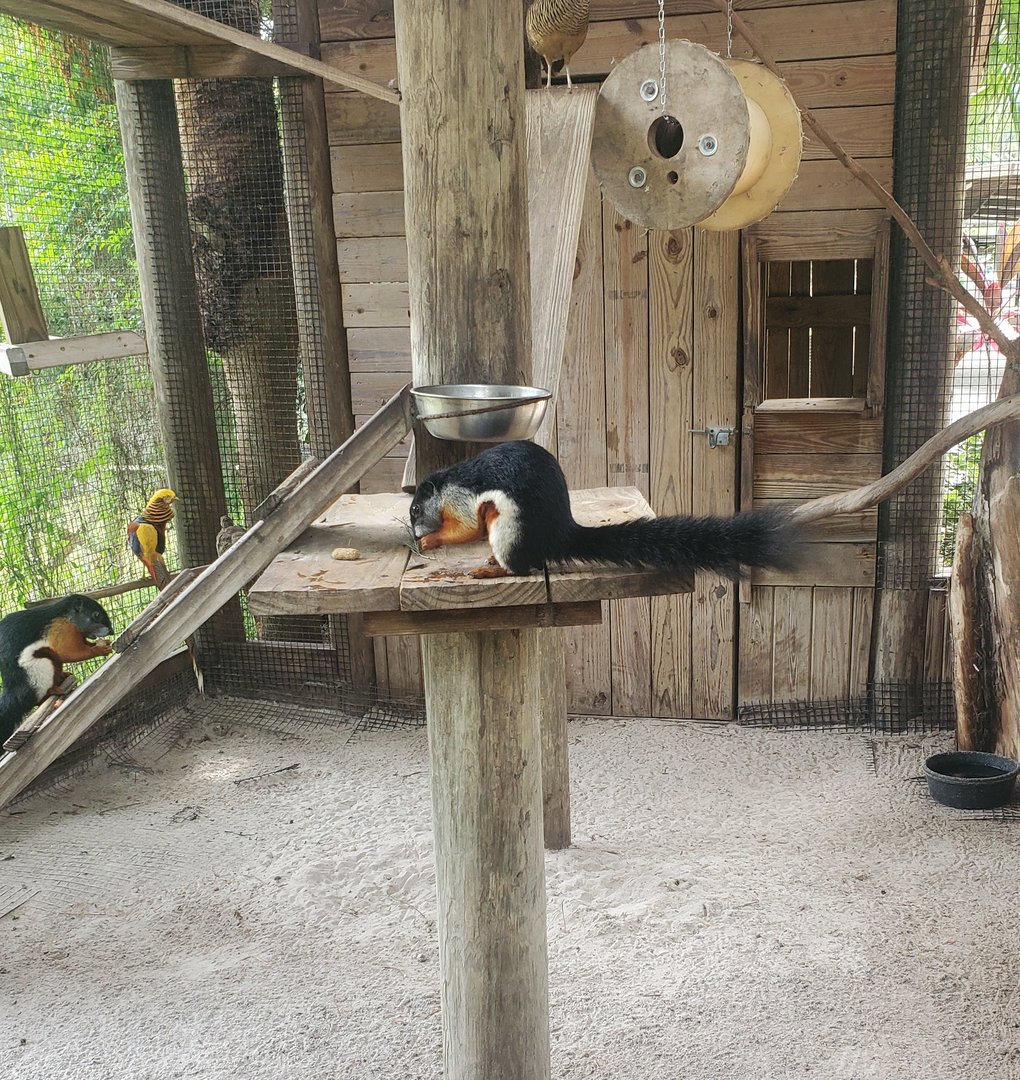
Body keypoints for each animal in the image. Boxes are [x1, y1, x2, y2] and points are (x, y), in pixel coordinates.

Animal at [0, 594, 114, 744]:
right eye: (96, 615)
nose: (111, 631)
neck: (66, 616)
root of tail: (13, 693)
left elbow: (85, 644)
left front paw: (102, 644)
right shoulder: (60, 630)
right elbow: (68, 651)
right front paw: (99, 649)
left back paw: (62, 676)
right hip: (41, 669)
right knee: (37, 699)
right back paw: (52, 692)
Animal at [409, 440, 804, 579]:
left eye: (414, 510)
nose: (413, 533)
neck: (444, 483)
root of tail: (559, 536)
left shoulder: (459, 500)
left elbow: (465, 529)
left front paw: (431, 541)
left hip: (509, 529)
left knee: (523, 568)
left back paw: (491, 570)